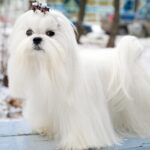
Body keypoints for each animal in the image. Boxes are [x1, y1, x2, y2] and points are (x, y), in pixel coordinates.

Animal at [7, 7, 150, 150]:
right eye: (28, 32)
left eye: (50, 33)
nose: (36, 39)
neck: (50, 66)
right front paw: (45, 128)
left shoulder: (78, 109)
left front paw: (77, 143)